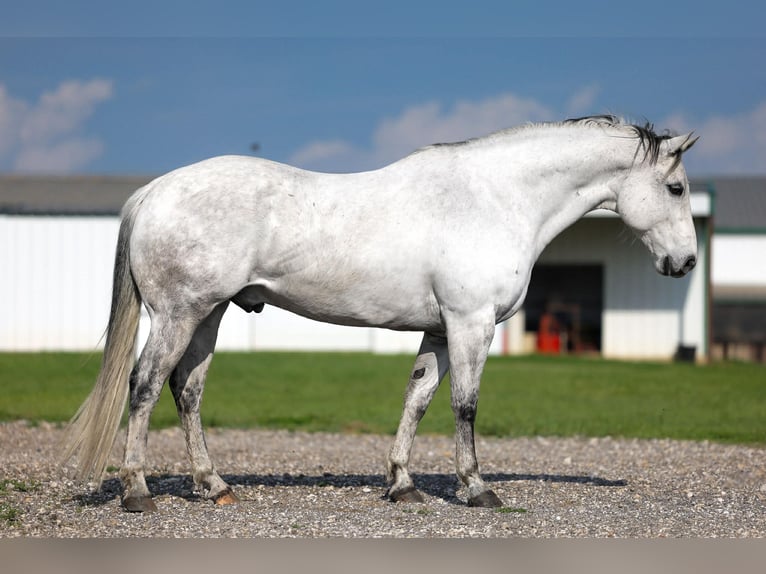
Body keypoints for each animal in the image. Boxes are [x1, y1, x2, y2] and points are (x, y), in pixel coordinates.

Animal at [62, 115, 698, 512]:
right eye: (675, 189)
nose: (686, 261)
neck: (493, 198)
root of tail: (155, 191)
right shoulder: (471, 325)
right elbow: (465, 406)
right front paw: (476, 488)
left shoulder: (440, 331)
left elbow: (417, 400)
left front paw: (402, 484)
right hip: (179, 314)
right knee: (145, 386)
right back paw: (138, 491)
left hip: (209, 315)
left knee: (186, 389)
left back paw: (212, 485)